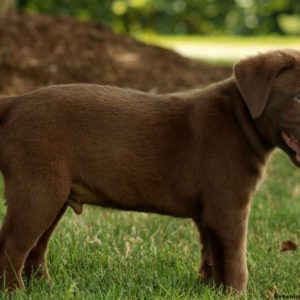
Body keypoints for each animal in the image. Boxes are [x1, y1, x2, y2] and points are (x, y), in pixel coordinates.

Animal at [0, 50, 298, 292]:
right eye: (297, 97)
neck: (240, 118)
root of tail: (15, 102)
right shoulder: (228, 208)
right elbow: (236, 261)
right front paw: (236, 293)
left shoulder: (208, 212)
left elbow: (212, 254)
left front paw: (210, 289)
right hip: (38, 190)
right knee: (13, 246)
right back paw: (15, 292)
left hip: (54, 193)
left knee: (36, 247)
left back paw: (45, 286)